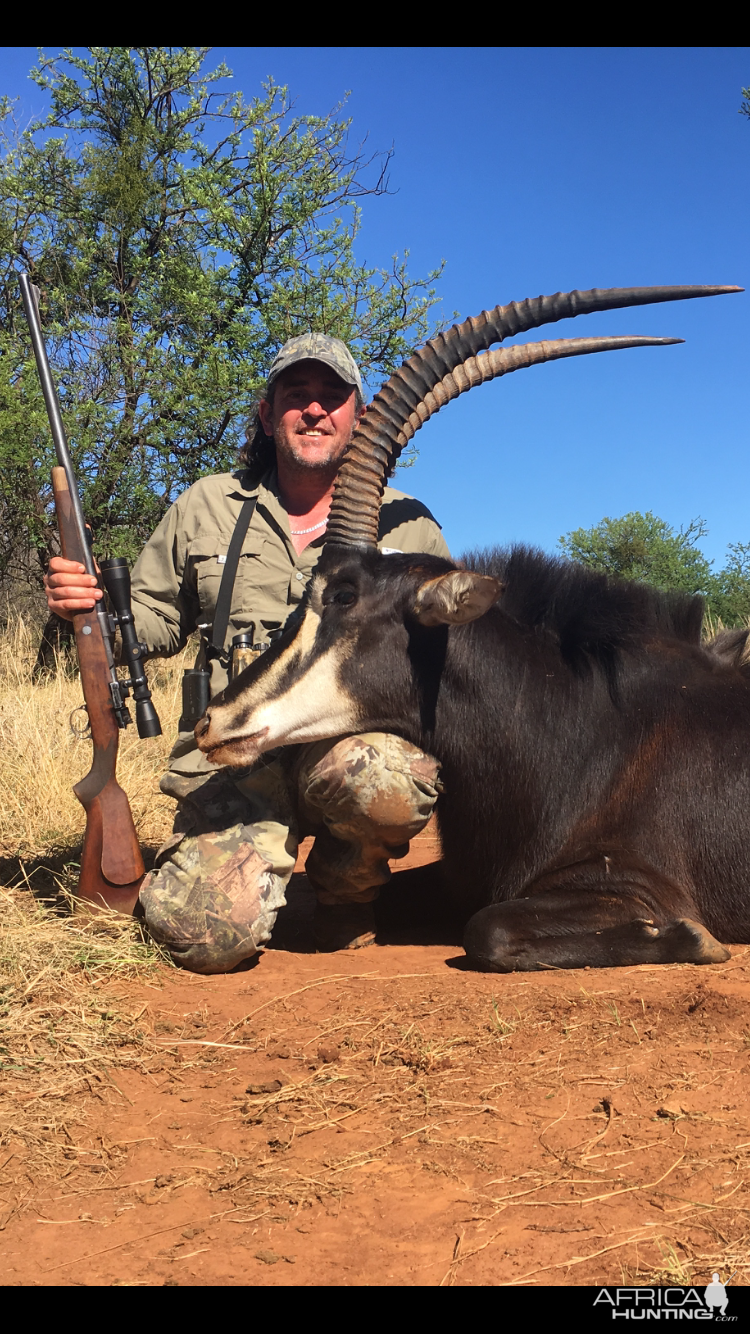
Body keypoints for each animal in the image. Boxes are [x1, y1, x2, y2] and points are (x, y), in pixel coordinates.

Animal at [196, 284, 741, 971]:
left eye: (343, 594)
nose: (214, 722)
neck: (581, 730)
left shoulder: (636, 882)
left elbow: (490, 929)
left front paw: (692, 939)